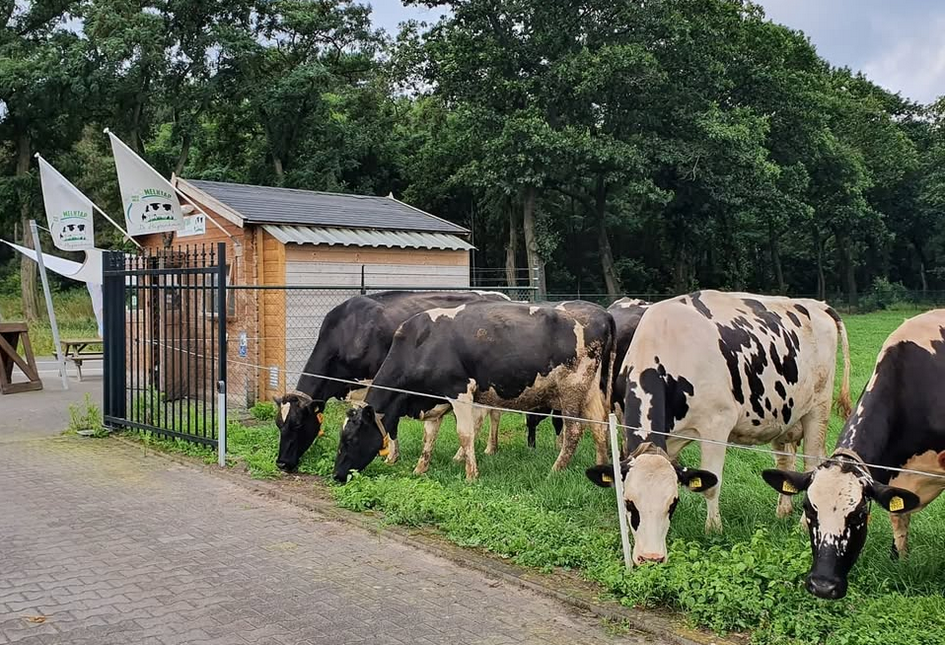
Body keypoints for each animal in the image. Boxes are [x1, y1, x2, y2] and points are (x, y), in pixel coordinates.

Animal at [272, 290, 508, 470]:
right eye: (279, 424)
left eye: (297, 423)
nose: (282, 463)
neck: (349, 331)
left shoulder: (374, 384)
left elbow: (389, 422)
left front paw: (390, 457)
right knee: (493, 414)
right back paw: (488, 448)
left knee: (482, 418)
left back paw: (471, 453)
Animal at [336, 300, 616, 480]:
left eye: (350, 439)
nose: (336, 474)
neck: (420, 343)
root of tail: (602, 313)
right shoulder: (433, 400)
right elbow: (429, 438)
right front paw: (419, 469)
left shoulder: (460, 391)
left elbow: (465, 434)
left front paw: (471, 475)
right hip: (590, 389)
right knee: (599, 426)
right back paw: (600, 466)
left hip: (571, 388)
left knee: (574, 430)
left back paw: (555, 470)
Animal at [588, 290, 852, 564]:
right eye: (629, 503)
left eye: (672, 503)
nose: (651, 558)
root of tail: (818, 305)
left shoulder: (716, 426)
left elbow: (712, 484)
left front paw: (713, 529)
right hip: (785, 415)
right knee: (786, 462)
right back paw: (783, 511)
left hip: (818, 410)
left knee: (811, 465)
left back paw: (801, 524)